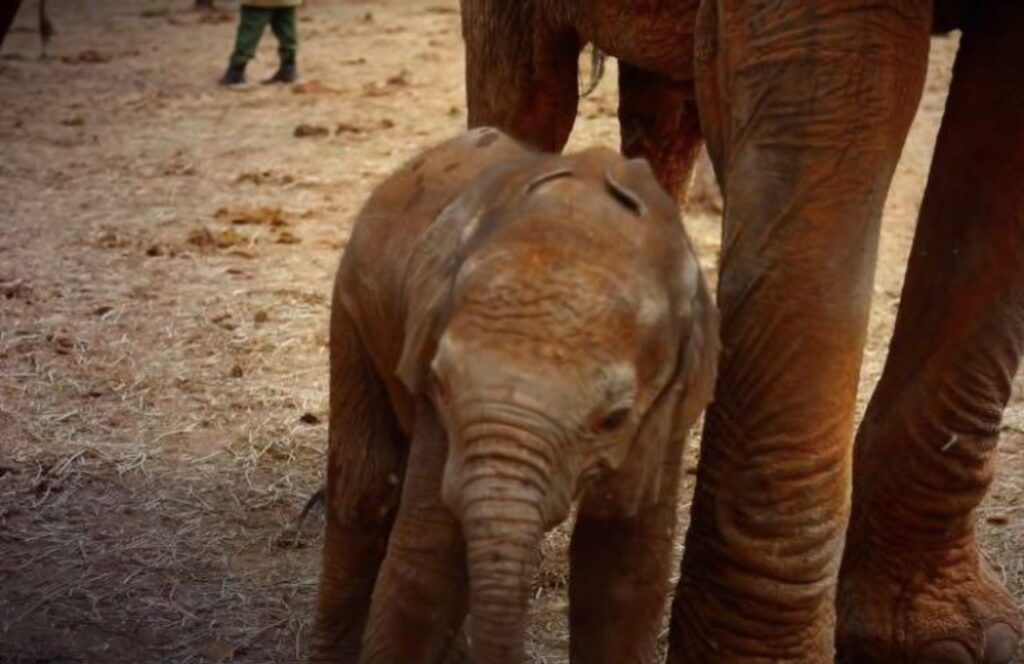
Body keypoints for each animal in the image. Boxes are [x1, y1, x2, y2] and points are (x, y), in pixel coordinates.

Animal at [311, 127, 720, 659]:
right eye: (441, 384)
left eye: (614, 419)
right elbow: (431, 553)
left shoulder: (671, 403)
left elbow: (622, 562)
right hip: (351, 306)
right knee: (364, 494)